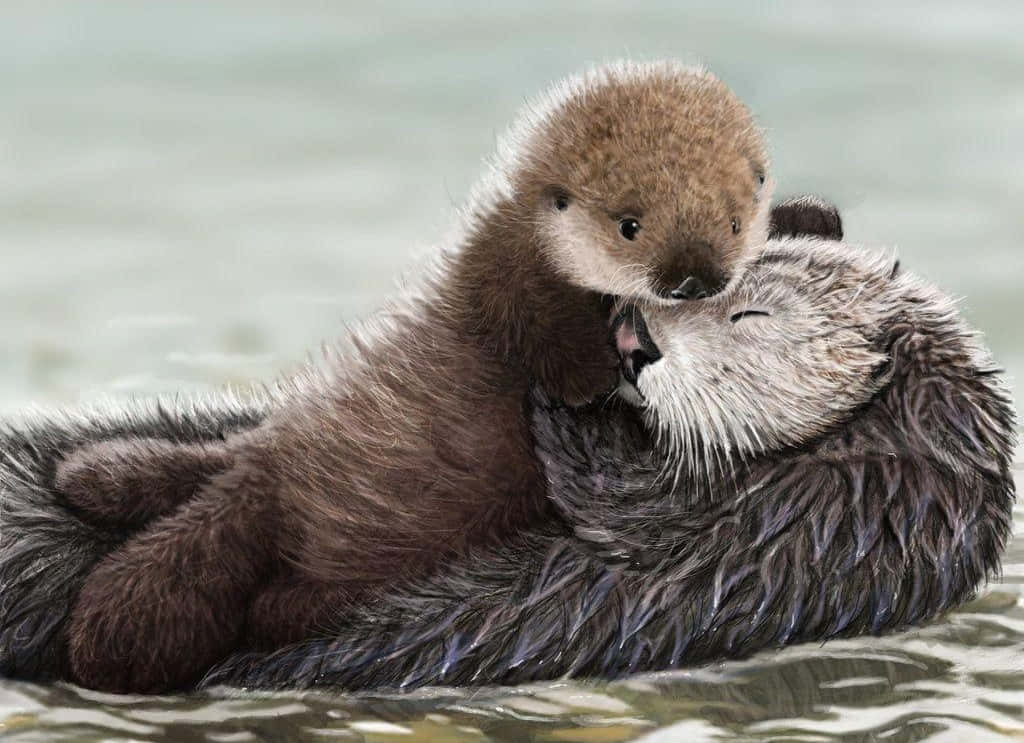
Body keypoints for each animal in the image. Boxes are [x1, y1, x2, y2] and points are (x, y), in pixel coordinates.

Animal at [15, 61, 787, 694]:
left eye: (734, 218)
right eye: (629, 224)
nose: (694, 278)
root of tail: (260, 477)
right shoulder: (505, 271)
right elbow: (537, 329)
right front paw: (590, 375)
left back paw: (99, 477)